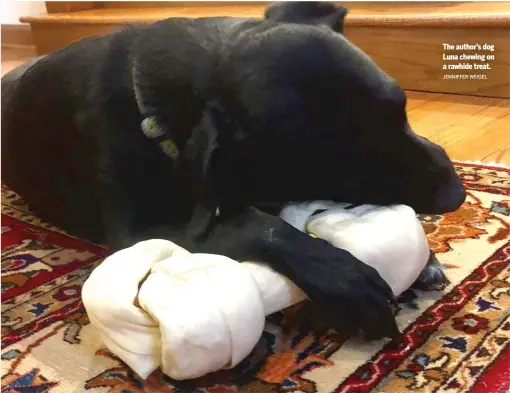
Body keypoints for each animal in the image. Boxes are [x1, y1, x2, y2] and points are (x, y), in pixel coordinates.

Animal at [0, 1, 462, 338]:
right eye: (343, 167)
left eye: (402, 111)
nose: (458, 194)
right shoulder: (139, 233)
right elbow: (254, 224)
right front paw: (345, 278)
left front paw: (426, 259)